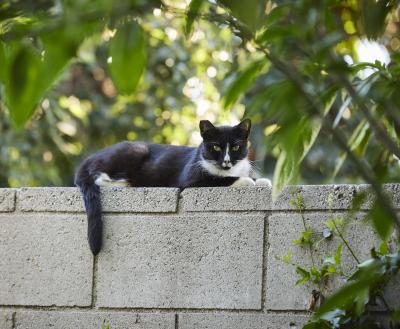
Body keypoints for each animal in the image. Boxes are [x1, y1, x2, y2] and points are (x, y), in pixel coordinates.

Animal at [75, 119, 270, 255]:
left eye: (236, 147)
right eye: (215, 147)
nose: (227, 162)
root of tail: (90, 158)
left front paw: (263, 181)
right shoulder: (190, 180)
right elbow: (220, 179)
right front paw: (247, 181)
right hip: (135, 150)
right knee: (95, 177)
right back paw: (126, 182)